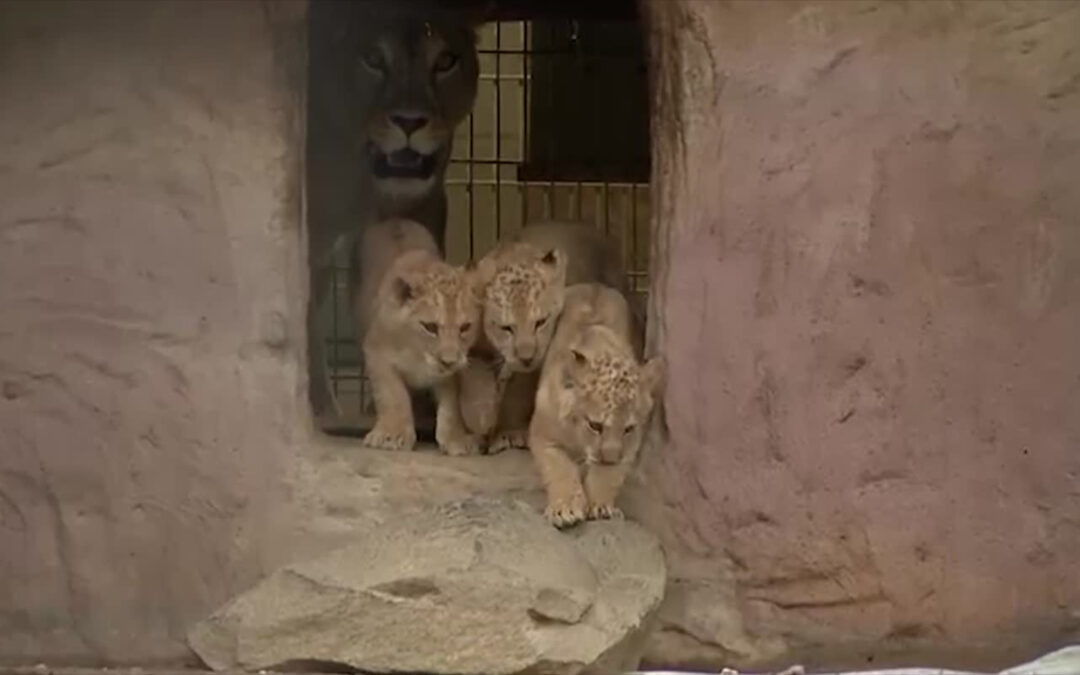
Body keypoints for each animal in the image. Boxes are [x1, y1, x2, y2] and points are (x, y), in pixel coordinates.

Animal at [355, 219, 483, 456]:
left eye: (465, 327)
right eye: (430, 327)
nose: (449, 361)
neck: (417, 352)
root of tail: (395, 219)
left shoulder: (449, 374)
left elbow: (451, 406)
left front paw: (456, 438)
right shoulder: (376, 352)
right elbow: (392, 394)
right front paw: (392, 435)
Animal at [459, 221, 633, 453]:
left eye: (541, 322)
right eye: (506, 328)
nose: (527, 358)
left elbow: (518, 388)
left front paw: (508, 432)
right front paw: (479, 420)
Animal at [527, 283, 664, 528]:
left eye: (628, 429)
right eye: (595, 426)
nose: (610, 458)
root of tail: (598, 285)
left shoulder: (629, 447)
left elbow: (608, 475)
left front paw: (601, 507)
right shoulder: (544, 435)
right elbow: (559, 469)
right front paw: (564, 508)